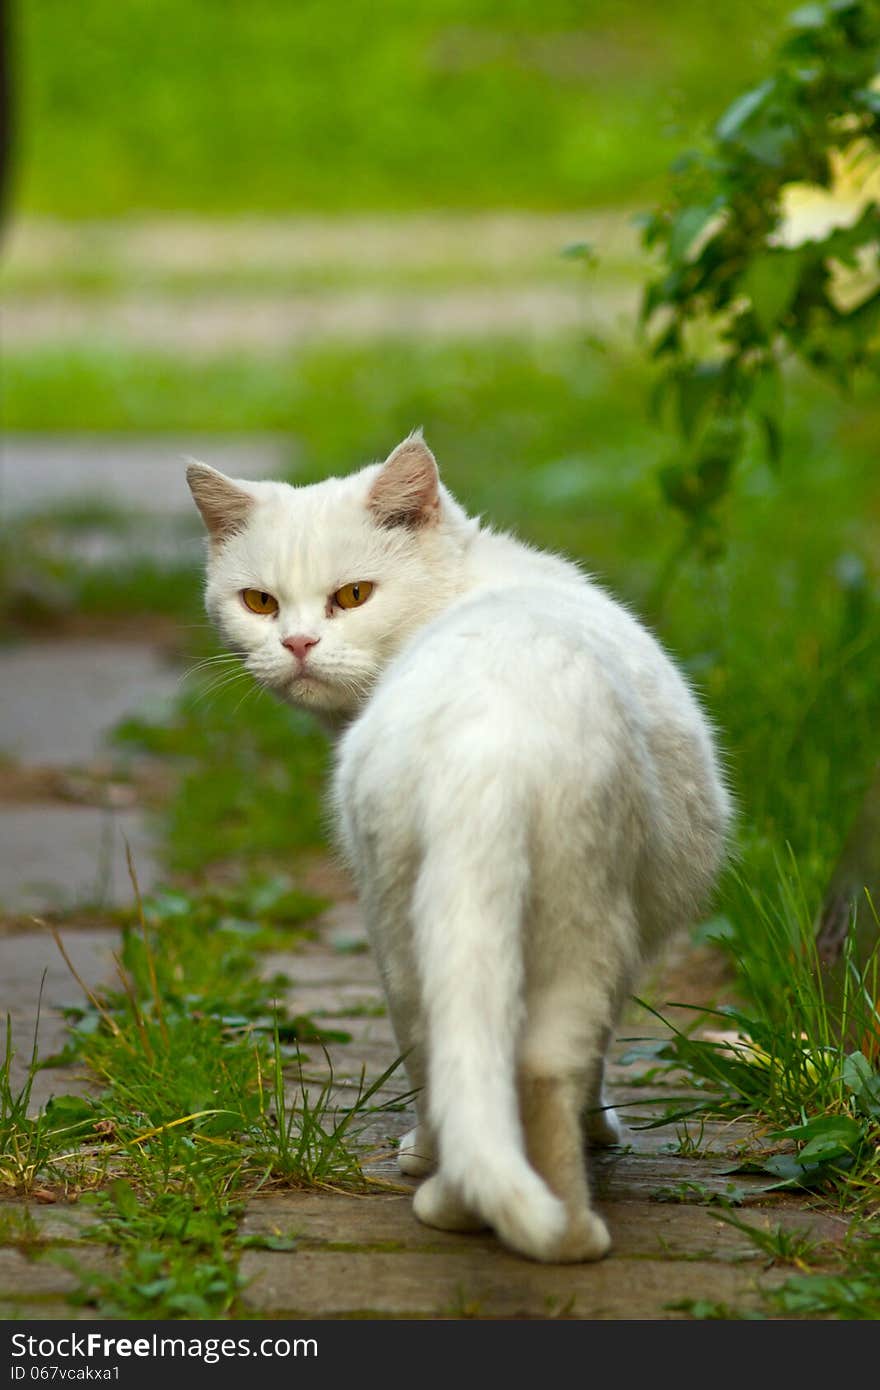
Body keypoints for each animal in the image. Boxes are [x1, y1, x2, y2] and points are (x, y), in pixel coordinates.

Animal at [189, 430, 728, 1262]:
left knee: (459, 1053)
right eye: (260, 602)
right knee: (537, 1068)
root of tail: (488, 744)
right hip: (576, 920)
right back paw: (554, 1226)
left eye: (353, 596)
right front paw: (603, 1132)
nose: (298, 642)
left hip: (409, 919)